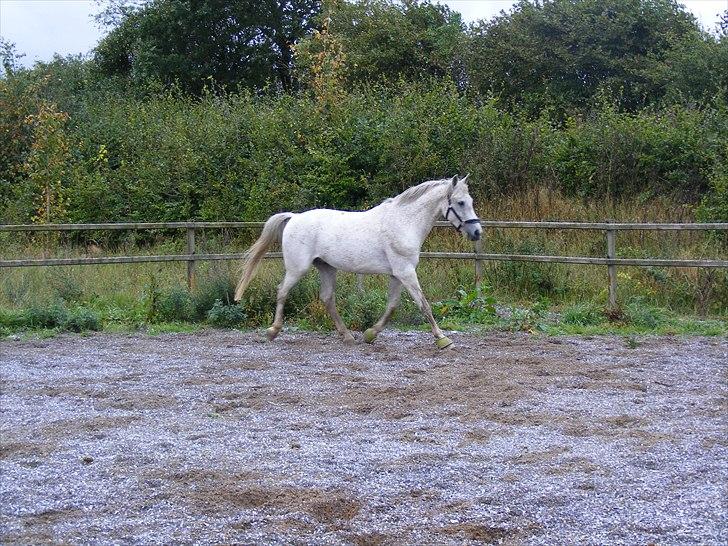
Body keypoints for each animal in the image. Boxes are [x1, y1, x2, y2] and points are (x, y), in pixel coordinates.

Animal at [236, 173, 480, 348]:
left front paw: (370, 334)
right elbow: (424, 304)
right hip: (298, 268)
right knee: (283, 291)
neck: (403, 222)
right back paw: (273, 331)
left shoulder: (398, 274)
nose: (477, 232)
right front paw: (443, 339)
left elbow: (392, 306)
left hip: (326, 267)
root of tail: (294, 217)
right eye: (460, 202)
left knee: (327, 298)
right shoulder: (406, 272)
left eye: (469, 201)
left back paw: (347, 337)